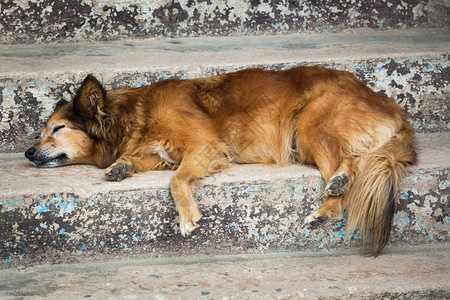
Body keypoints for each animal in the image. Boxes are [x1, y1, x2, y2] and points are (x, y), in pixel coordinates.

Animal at [26, 65, 416, 255]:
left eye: (57, 128)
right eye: (44, 130)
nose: (28, 152)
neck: (135, 115)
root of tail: (396, 110)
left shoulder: (205, 147)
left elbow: (177, 180)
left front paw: (187, 216)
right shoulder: (164, 152)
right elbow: (143, 160)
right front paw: (121, 166)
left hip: (310, 126)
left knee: (351, 163)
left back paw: (334, 192)